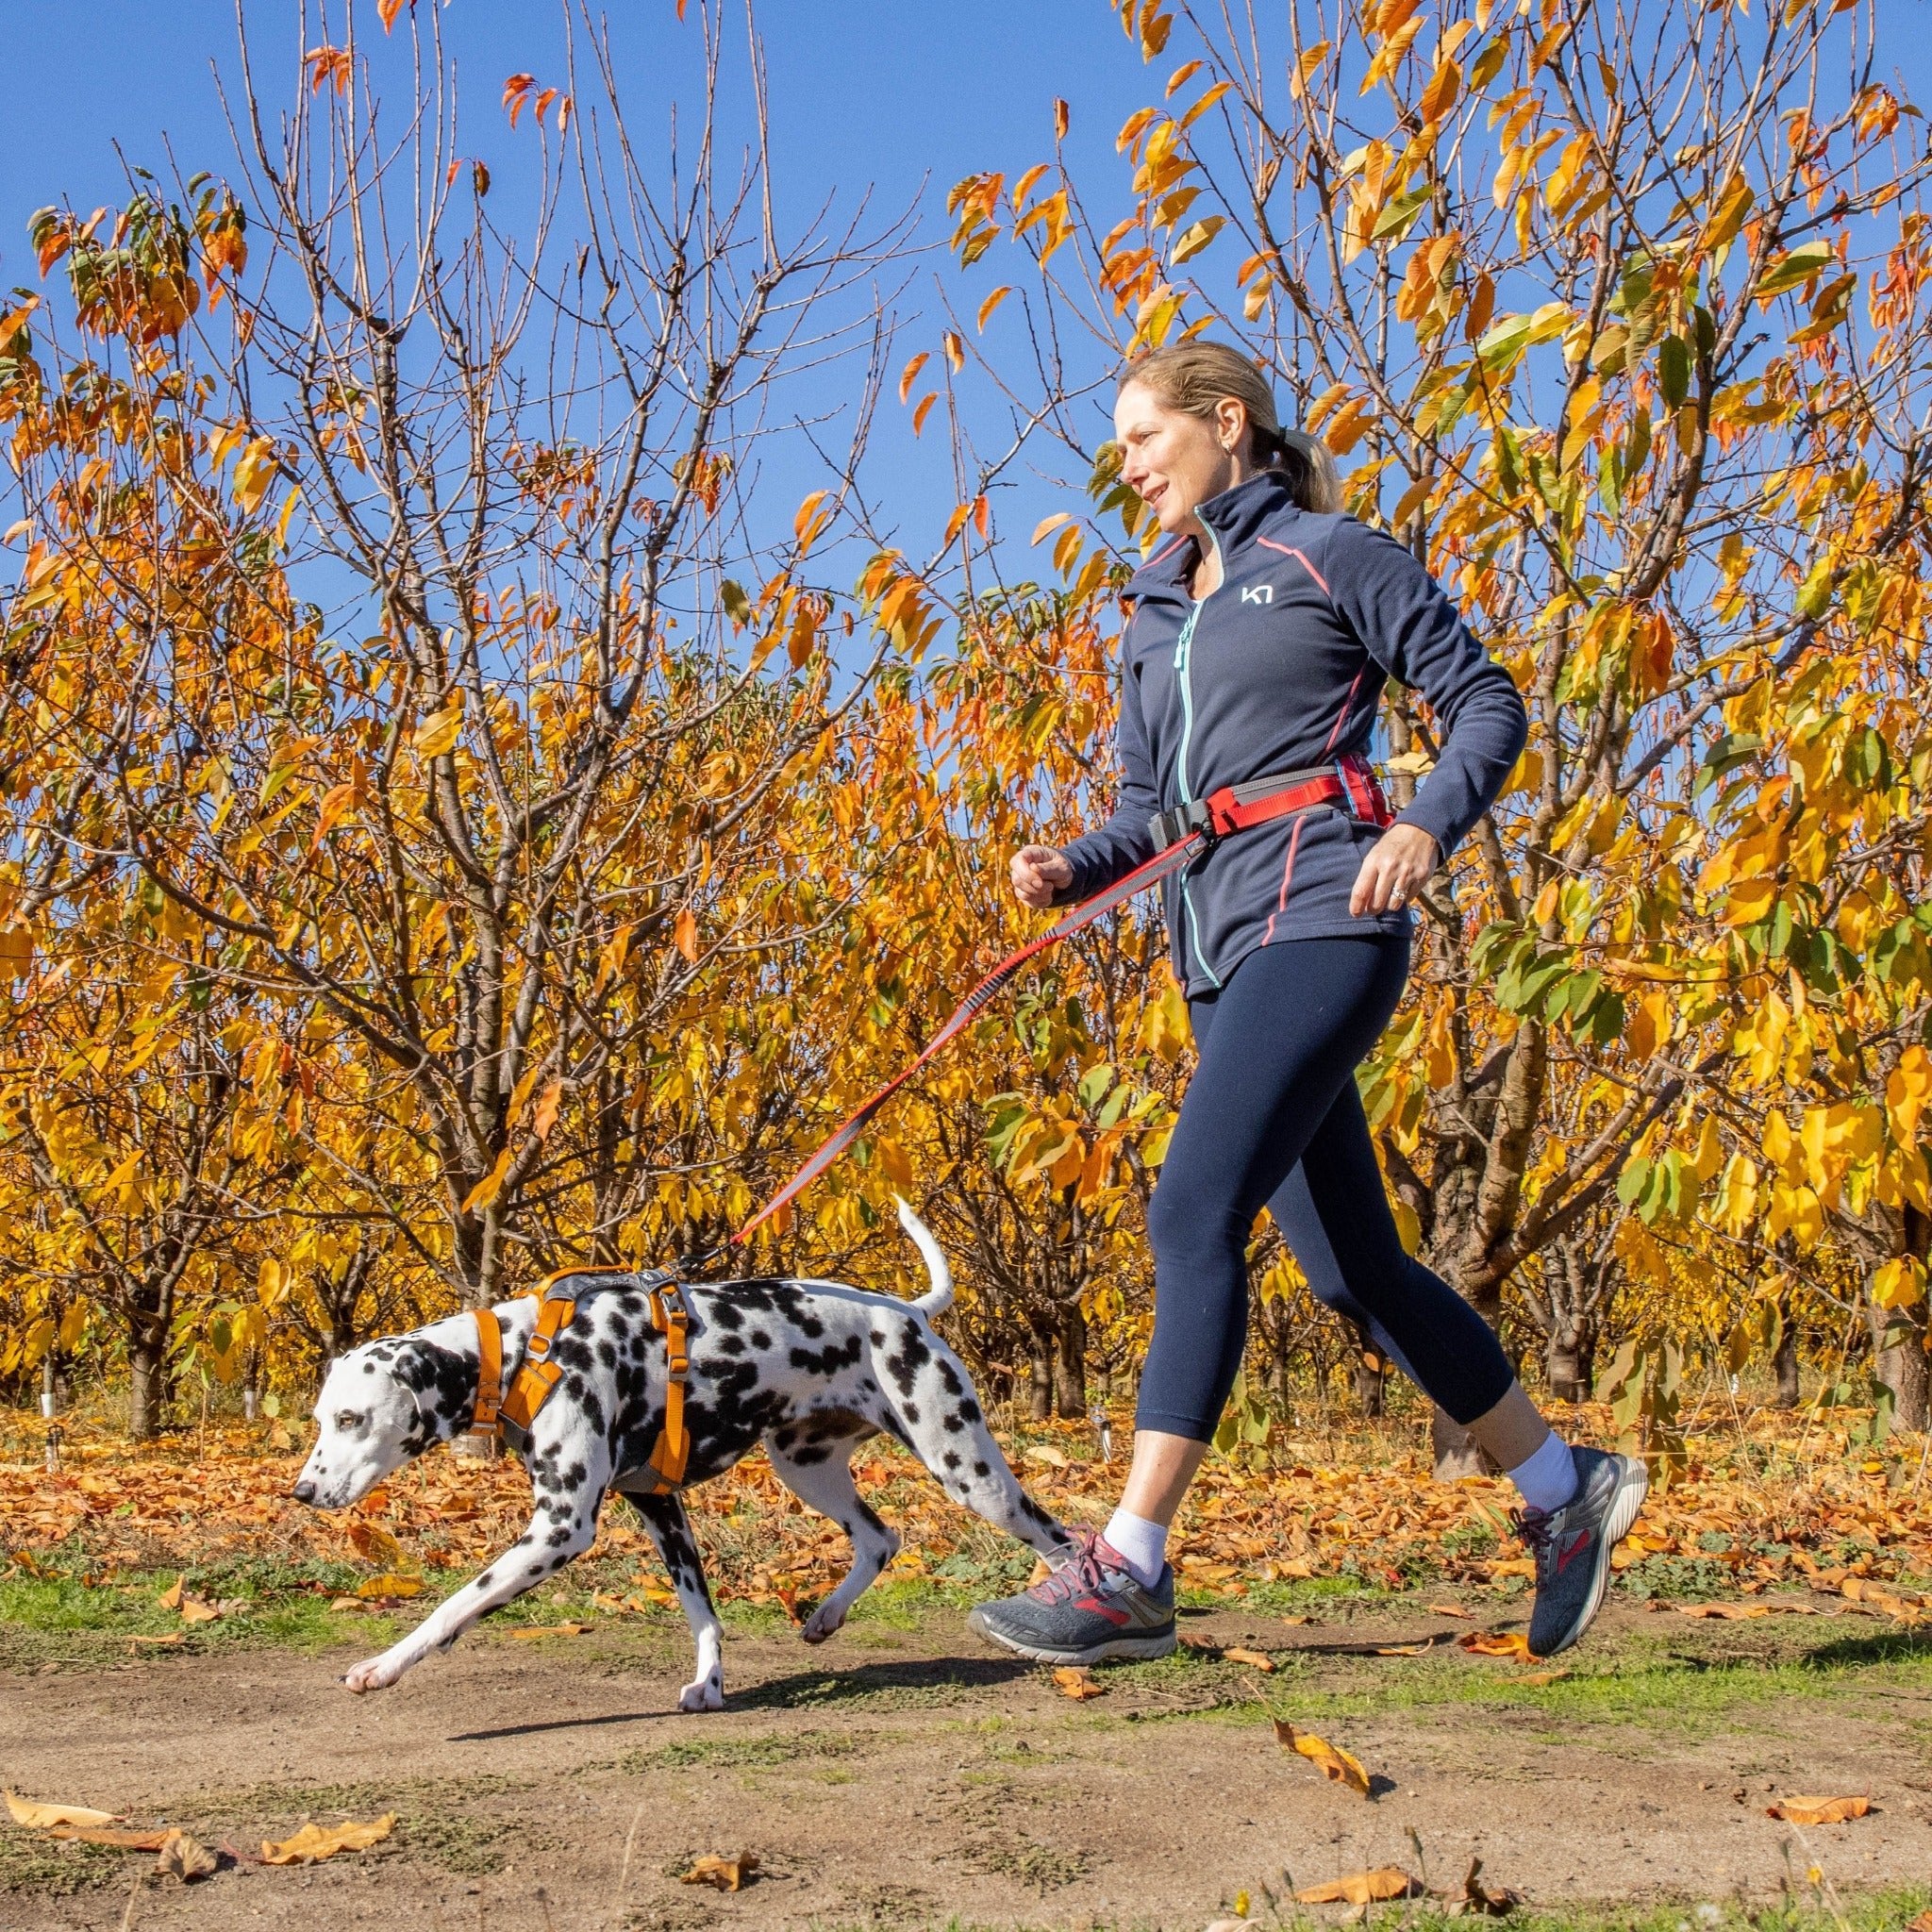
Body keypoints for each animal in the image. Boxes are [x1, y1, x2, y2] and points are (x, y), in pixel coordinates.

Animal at [290, 1197, 1074, 1715]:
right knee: (882, 1538)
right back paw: (826, 1616)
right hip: (807, 1468)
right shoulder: (659, 1504)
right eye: (322, 1420)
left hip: (968, 1470)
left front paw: (383, 1666)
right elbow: (703, 1613)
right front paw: (712, 1684)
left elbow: (454, 1604)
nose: (301, 1493)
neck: (522, 1354)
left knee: (1060, 1540)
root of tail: (908, 1312)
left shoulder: (559, 1531)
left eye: (353, 1418)